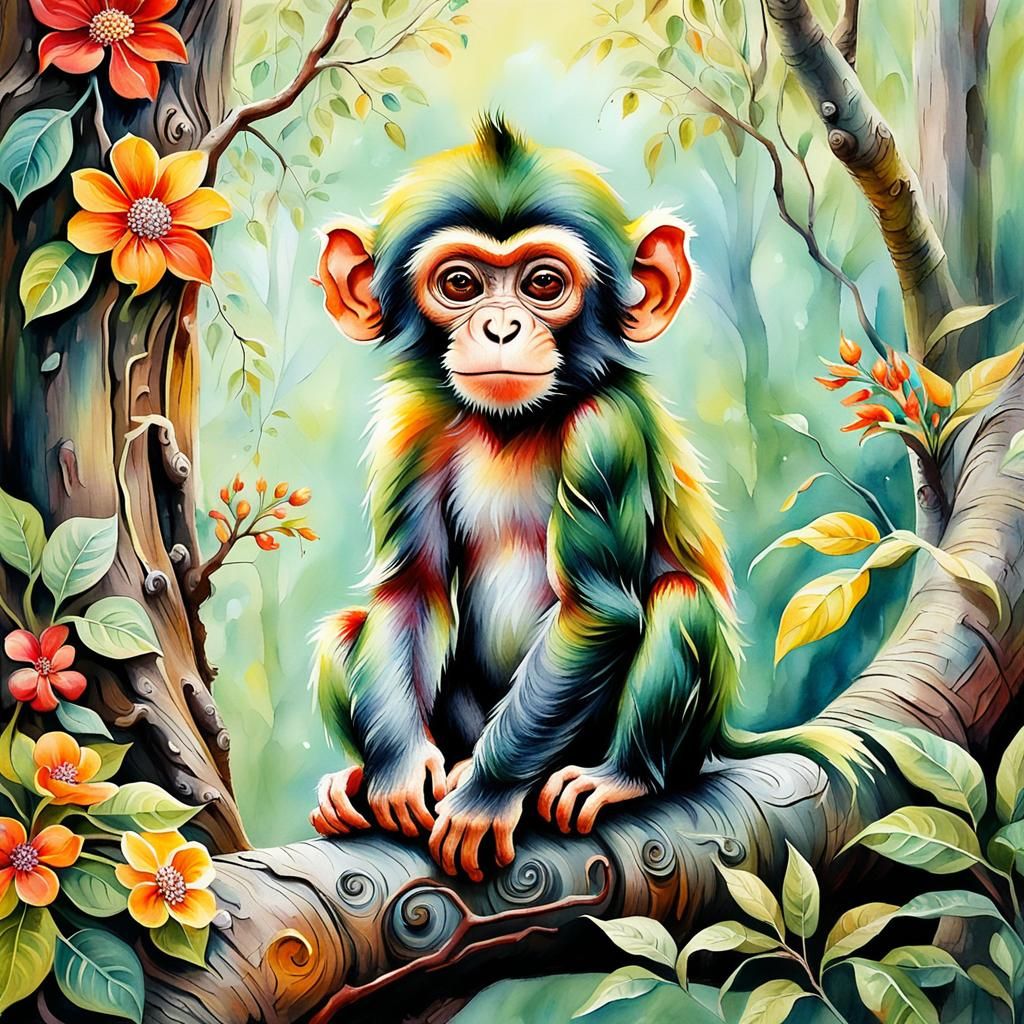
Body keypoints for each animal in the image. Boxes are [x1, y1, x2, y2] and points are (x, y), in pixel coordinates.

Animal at [306, 117, 860, 882]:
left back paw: (613, 777)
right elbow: (410, 592)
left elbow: (598, 609)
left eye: (543, 282)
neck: (510, 427)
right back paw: (361, 780)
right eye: (460, 283)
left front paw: (484, 797)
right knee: (346, 627)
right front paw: (394, 773)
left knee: (678, 602)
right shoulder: (411, 424)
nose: (501, 328)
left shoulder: (608, 431)